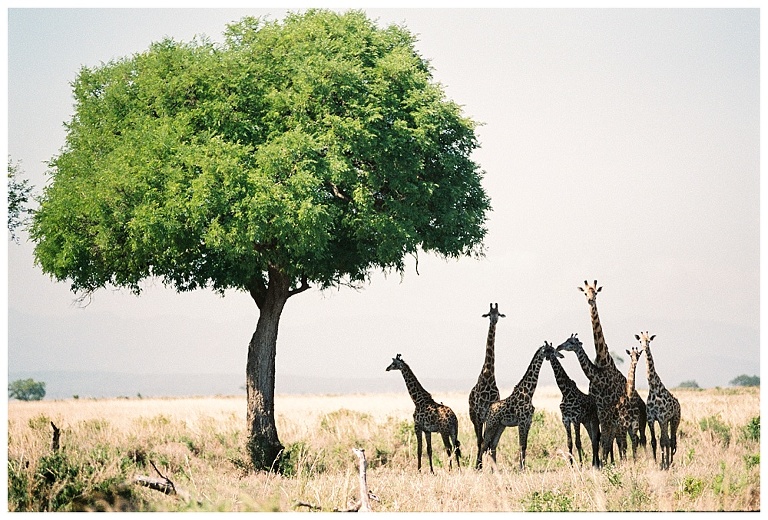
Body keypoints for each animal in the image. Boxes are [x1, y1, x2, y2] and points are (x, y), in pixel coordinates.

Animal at [480, 342, 552, 472]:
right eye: (550, 350)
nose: (560, 355)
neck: (529, 393)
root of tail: (489, 410)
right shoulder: (522, 422)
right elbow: (521, 445)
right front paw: (521, 469)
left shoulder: (528, 422)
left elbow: (524, 445)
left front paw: (523, 468)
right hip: (491, 424)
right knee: (484, 444)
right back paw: (478, 468)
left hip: (501, 426)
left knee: (493, 444)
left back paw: (495, 470)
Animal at [544, 336, 600, 470]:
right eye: (545, 349)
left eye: (551, 350)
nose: (547, 356)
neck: (565, 391)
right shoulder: (565, 419)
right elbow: (569, 443)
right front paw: (571, 465)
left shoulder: (575, 419)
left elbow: (578, 442)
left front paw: (581, 464)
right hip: (586, 422)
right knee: (593, 440)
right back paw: (594, 463)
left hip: (594, 420)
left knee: (596, 440)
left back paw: (596, 464)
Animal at [632, 334, 680, 472]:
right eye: (640, 340)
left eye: (649, 340)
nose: (644, 347)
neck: (653, 387)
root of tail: (678, 404)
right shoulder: (651, 419)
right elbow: (654, 441)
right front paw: (655, 463)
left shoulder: (662, 418)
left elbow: (663, 441)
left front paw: (664, 464)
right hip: (666, 421)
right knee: (667, 439)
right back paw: (667, 462)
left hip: (674, 419)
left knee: (671, 440)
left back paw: (669, 463)